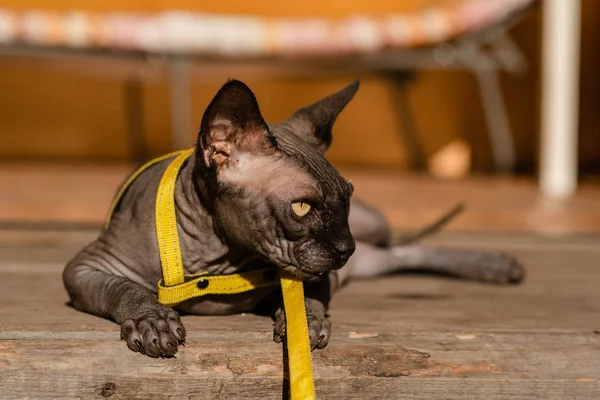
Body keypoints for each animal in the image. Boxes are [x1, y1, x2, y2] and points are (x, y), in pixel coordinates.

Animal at [63, 78, 524, 356]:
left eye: (347, 199)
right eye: (303, 207)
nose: (344, 248)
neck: (215, 260)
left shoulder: (318, 271)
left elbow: (308, 295)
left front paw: (307, 322)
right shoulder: (85, 267)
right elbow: (125, 288)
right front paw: (152, 321)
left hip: (375, 226)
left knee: (400, 250)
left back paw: (497, 265)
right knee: (392, 255)